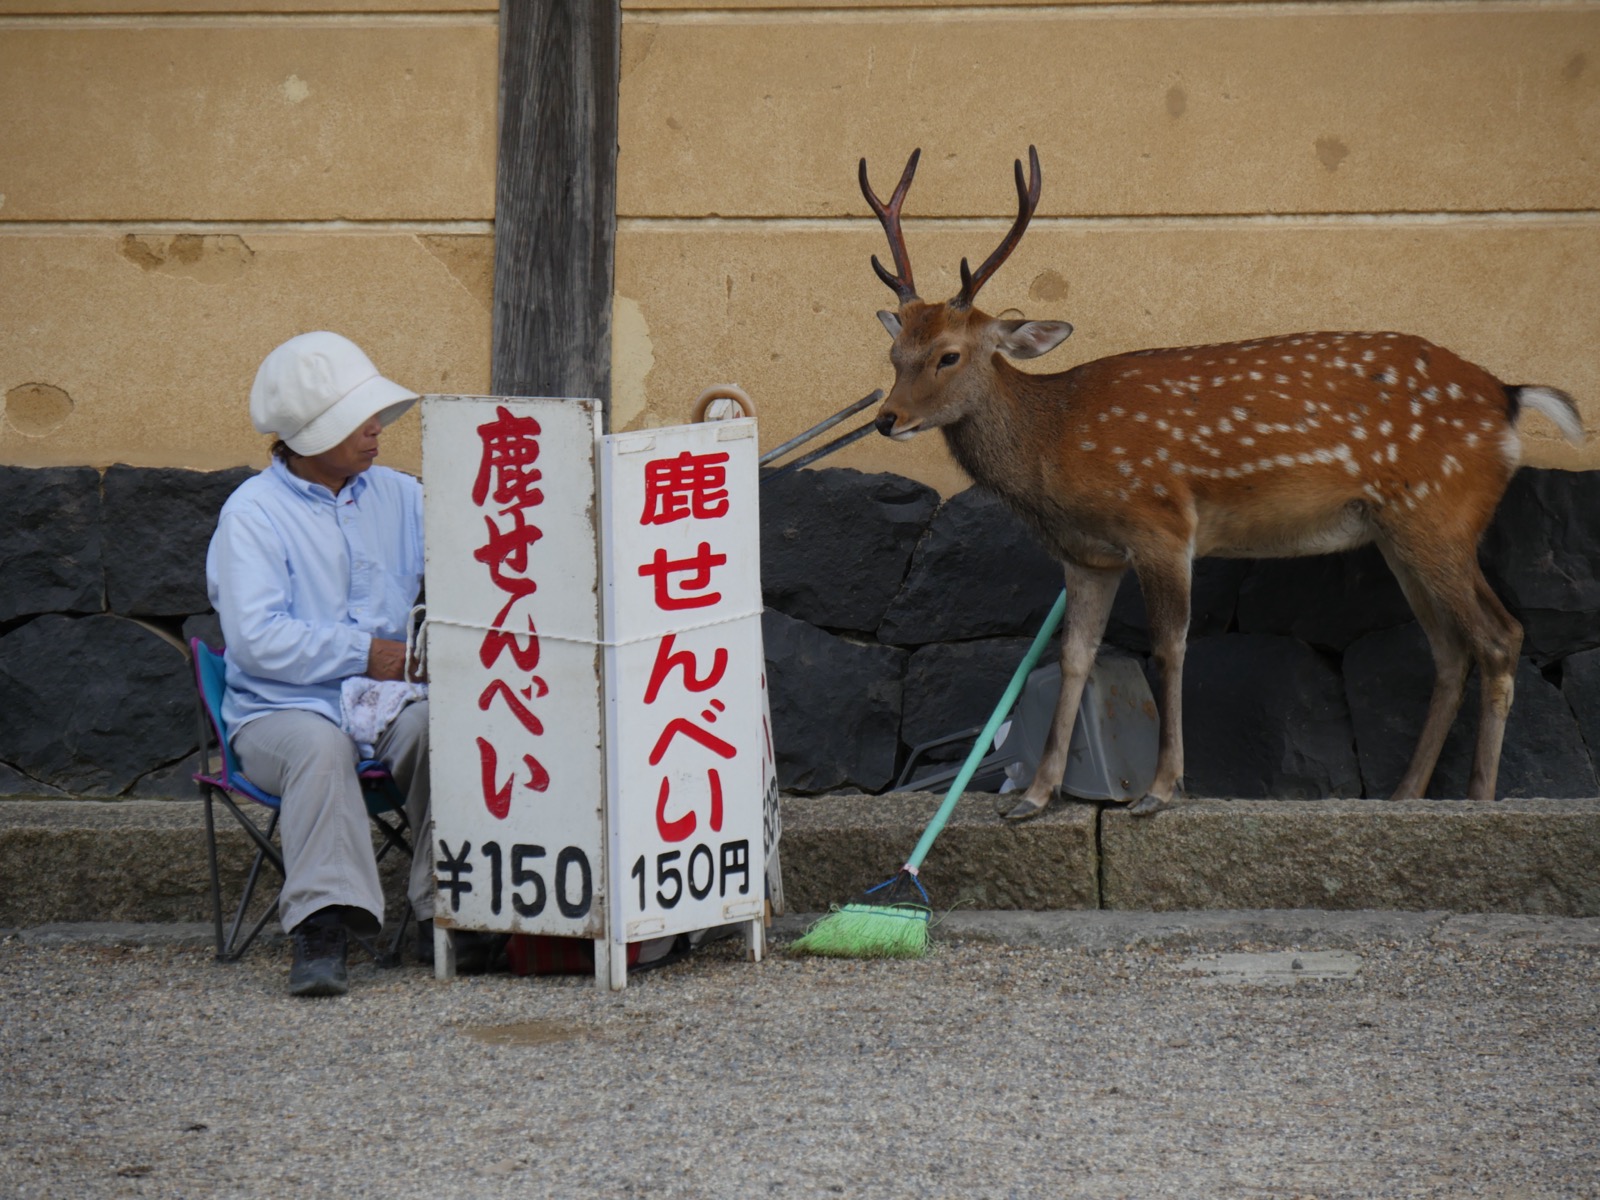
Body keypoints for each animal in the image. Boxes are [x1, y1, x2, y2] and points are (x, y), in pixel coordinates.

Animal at [860, 146, 1585, 818]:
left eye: (949, 355)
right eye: (894, 354)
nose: (886, 419)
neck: (1055, 447)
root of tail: (1510, 398)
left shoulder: (1160, 521)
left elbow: (1170, 648)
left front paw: (1160, 790)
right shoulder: (1088, 556)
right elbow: (1073, 659)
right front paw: (1035, 797)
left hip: (1441, 511)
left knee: (1498, 636)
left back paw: (1479, 799)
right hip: (1402, 531)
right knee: (1450, 647)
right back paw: (1405, 795)